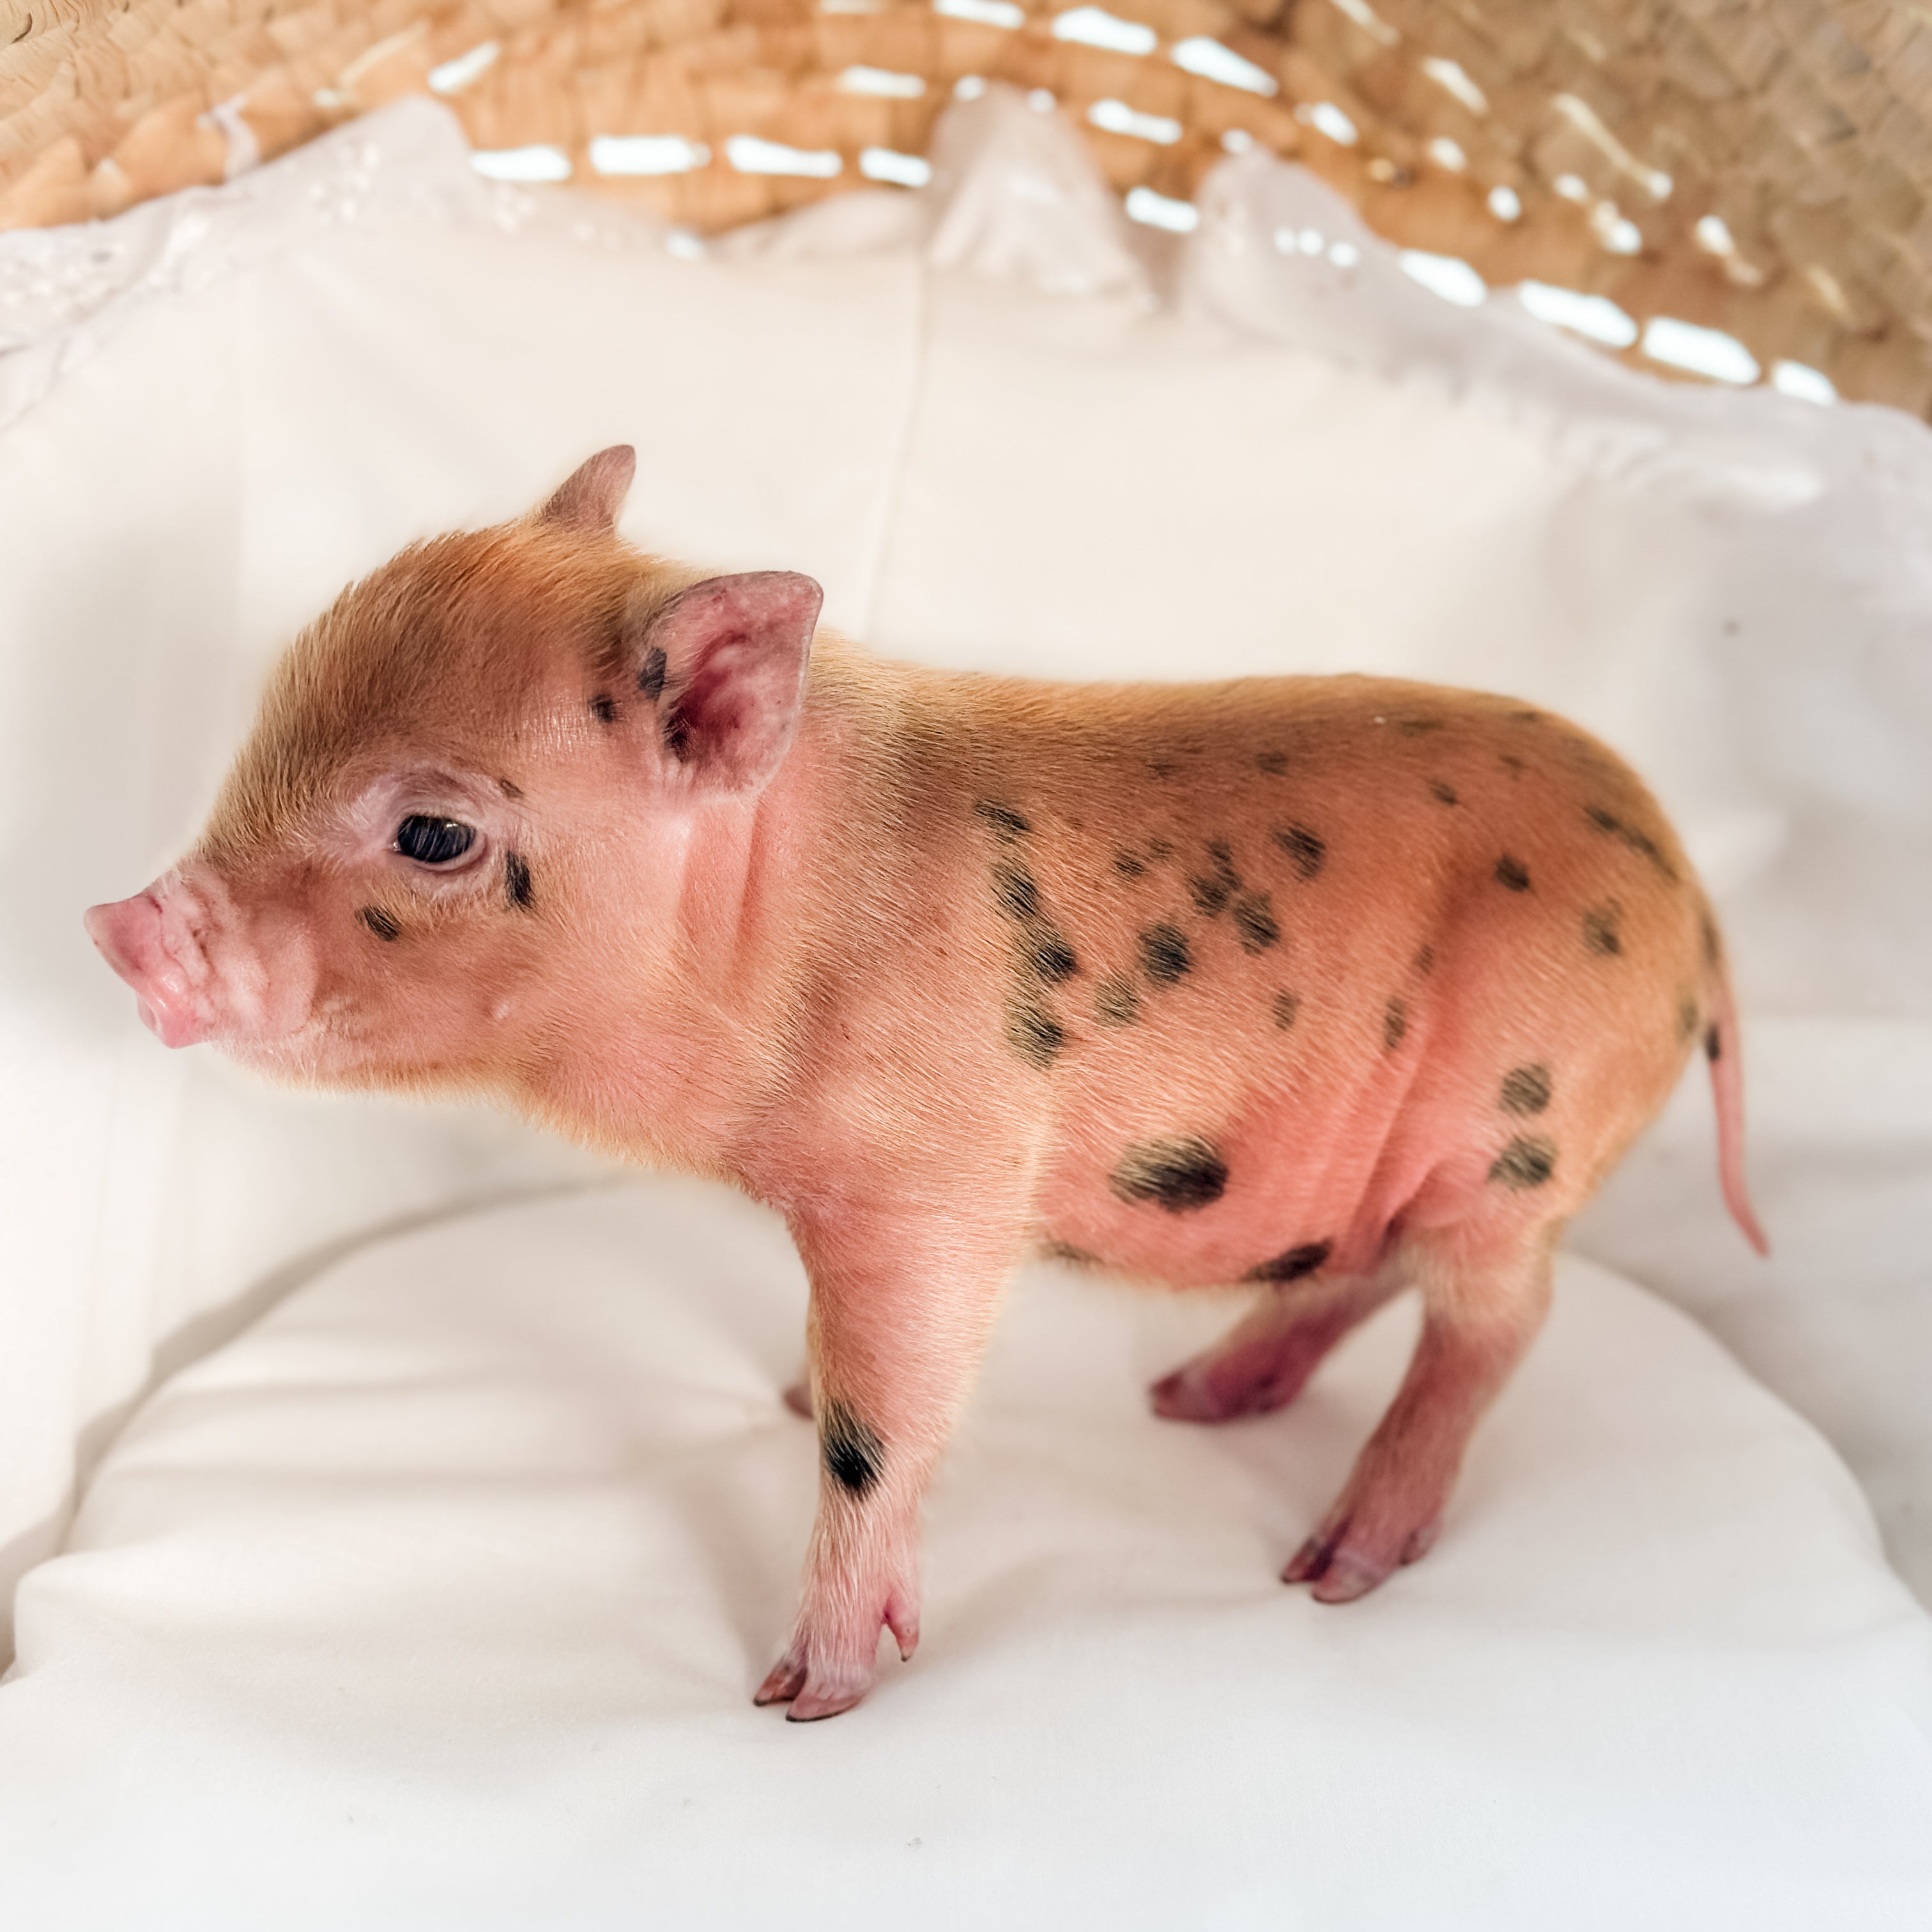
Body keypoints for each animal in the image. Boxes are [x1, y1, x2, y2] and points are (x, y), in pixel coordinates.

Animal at [86, 447, 1768, 1721]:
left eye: (434, 835)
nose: (119, 928)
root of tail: (1691, 897)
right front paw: (781, 1391)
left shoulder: (937, 1187)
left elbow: (880, 1423)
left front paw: (803, 1696)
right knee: (1359, 1272)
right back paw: (1192, 1400)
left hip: (1517, 1145)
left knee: (1496, 1325)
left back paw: (1328, 1569)